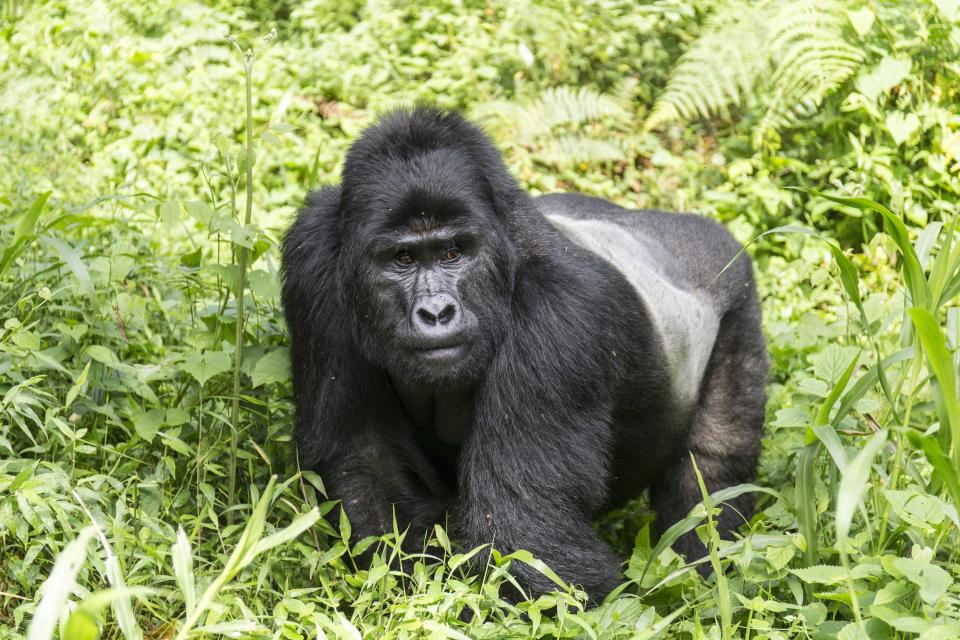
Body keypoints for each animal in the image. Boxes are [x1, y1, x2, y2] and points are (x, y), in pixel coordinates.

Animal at [280, 105, 764, 600]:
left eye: (453, 252)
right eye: (403, 259)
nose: (436, 312)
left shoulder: (563, 310)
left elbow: (526, 535)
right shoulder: (314, 258)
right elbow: (367, 466)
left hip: (736, 289)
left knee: (711, 471)